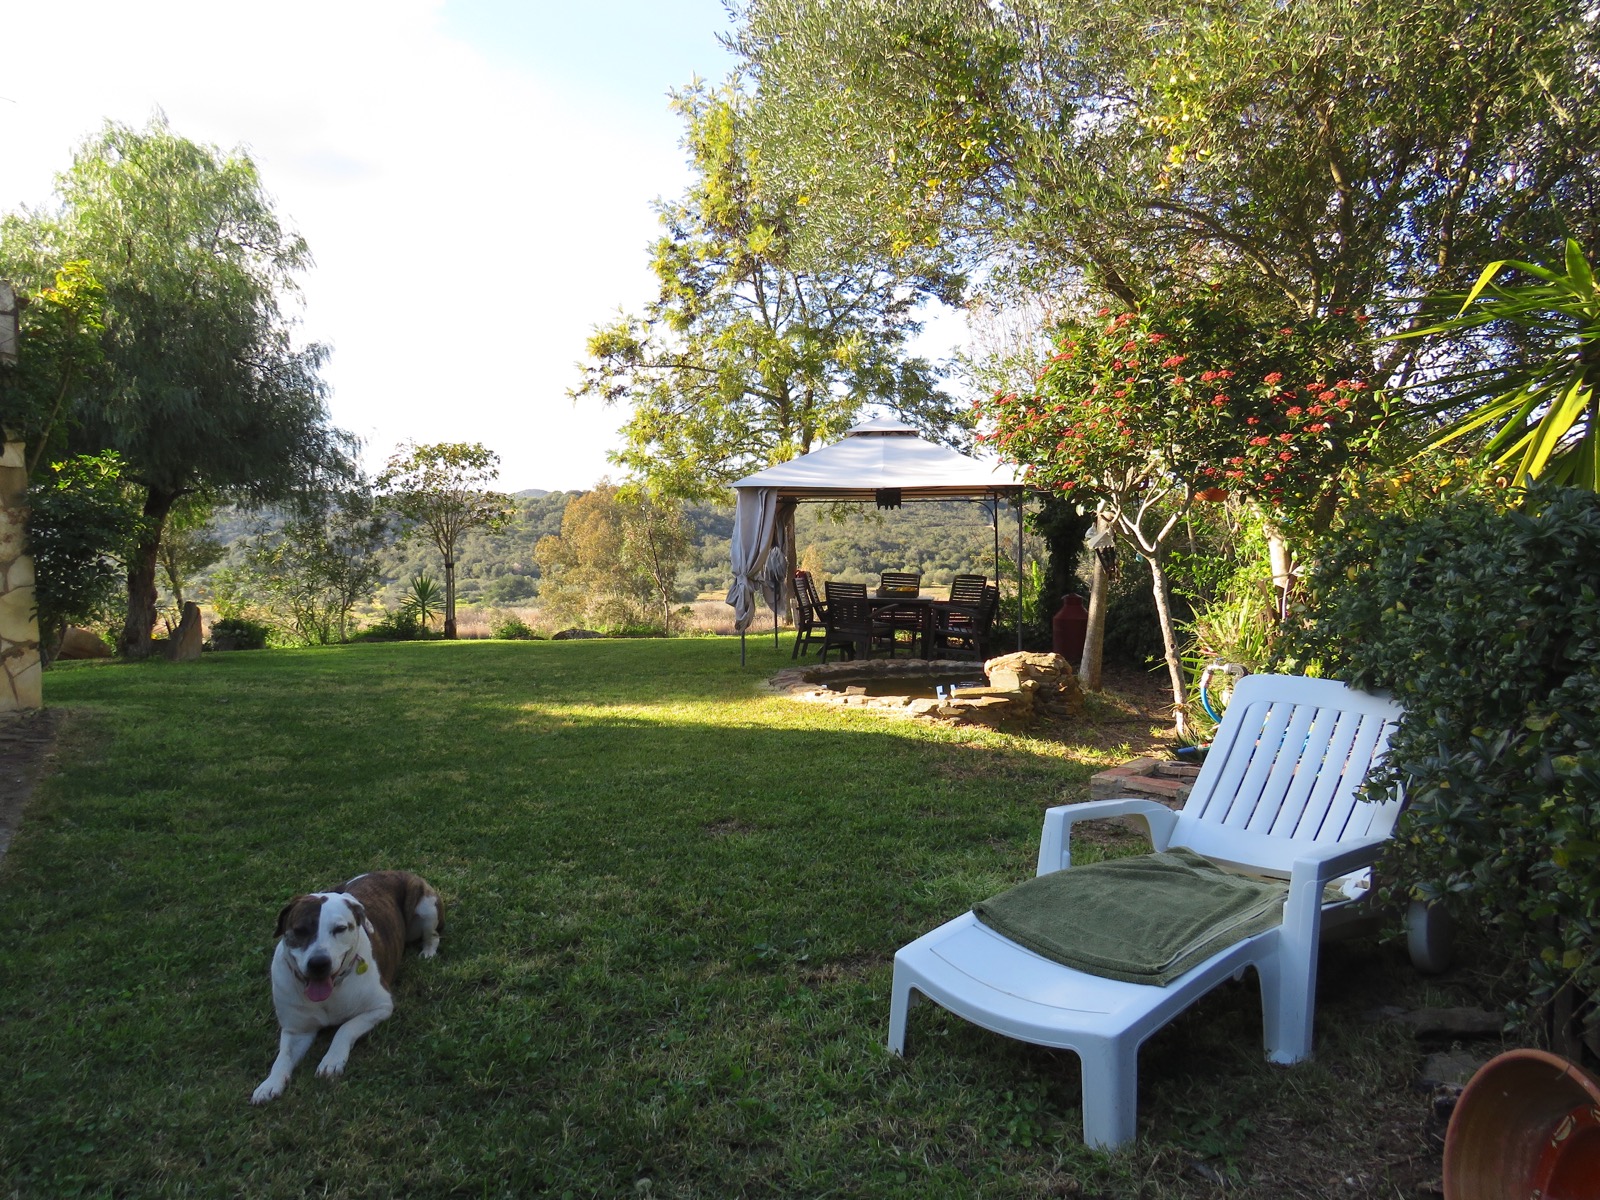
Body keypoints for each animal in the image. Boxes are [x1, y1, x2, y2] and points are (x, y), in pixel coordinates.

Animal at [254, 870, 444, 1107]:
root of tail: (395, 871)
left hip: (426, 907)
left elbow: (346, 1028)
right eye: (299, 930)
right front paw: (269, 1084)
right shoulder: (297, 1030)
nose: (319, 963)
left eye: (340, 929)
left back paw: (427, 952)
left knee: (433, 935)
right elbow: (283, 1057)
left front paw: (332, 1060)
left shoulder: (380, 1007)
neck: (333, 990)